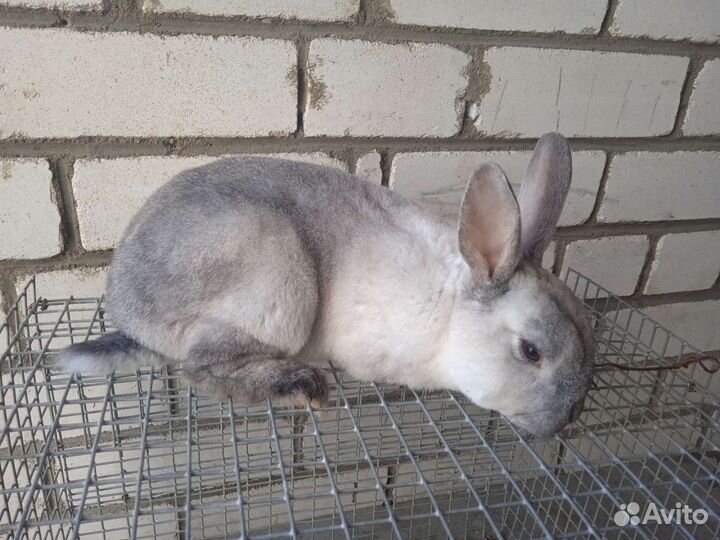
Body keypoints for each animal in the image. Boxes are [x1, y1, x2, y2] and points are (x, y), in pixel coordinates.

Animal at [57, 132, 594, 437]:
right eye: (530, 351)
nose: (569, 418)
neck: (448, 314)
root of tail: (130, 311)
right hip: (277, 274)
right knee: (200, 366)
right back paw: (303, 386)